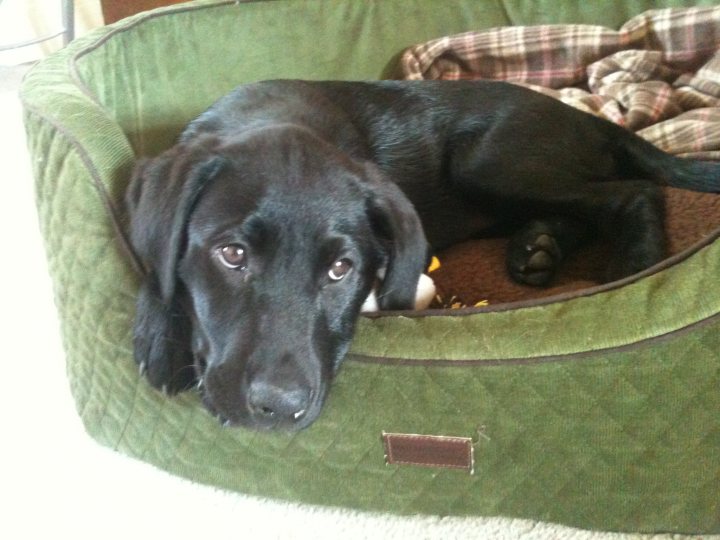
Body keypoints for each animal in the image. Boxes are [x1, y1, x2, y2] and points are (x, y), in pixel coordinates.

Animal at [126, 79, 716, 430]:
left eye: (341, 270)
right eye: (232, 254)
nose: (279, 409)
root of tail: (591, 118)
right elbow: (156, 257)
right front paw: (160, 332)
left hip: (489, 162)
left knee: (634, 192)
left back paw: (635, 265)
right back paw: (538, 249)